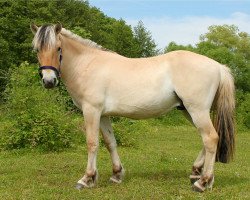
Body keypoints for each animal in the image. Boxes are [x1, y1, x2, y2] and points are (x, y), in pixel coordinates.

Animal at [30, 22, 235, 191]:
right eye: (37, 49)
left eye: (58, 48)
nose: (49, 81)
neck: (88, 64)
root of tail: (218, 66)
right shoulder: (103, 115)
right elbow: (110, 143)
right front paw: (116, 174)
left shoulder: (91, 111)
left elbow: (92, 143)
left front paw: (87, 179)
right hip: (189, 111)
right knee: (210, 137)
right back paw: (197, 173)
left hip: (197, 111)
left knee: (210, 138)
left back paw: (202, 182)